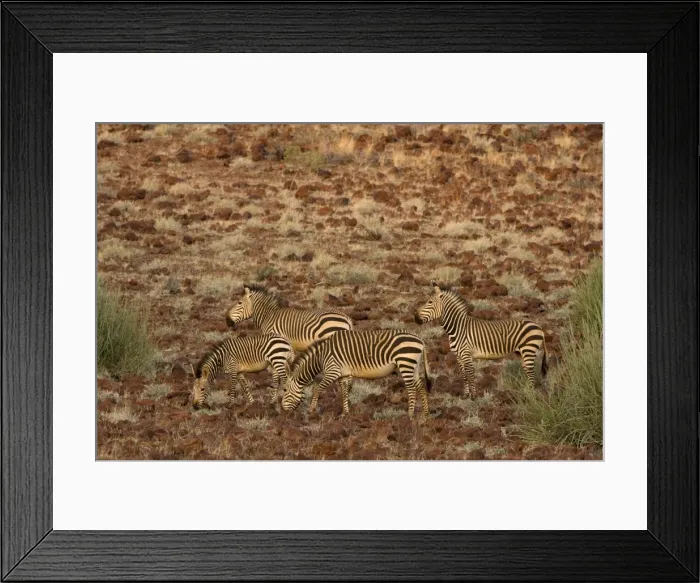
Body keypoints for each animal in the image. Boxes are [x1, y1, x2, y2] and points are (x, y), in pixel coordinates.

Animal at [281, 329, 432, 418]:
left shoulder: (332, 371)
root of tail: (420, 339)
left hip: (405, 362)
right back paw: (425, 413)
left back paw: (410, 415)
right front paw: (345, 413)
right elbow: (344, 392)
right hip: (414, 365)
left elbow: (318, 388)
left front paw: (311, 410)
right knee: (420, 387)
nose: (283, 411)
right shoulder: (344, 374)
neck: (321, 356)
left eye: (285, 390)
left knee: (411, 388)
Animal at [414, 280, 548, 397]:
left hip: (528, 350)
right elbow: (464, 375)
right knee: (527, 370)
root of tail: (538, 326)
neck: (458, 328)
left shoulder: (466, 354)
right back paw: (525, 390)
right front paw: (466, 395)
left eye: (430, 302)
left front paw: (473, 396)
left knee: (531, 373)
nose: (415, 318)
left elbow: (470, 374)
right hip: (521, 352)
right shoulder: (459, 356)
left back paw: (530, 393)